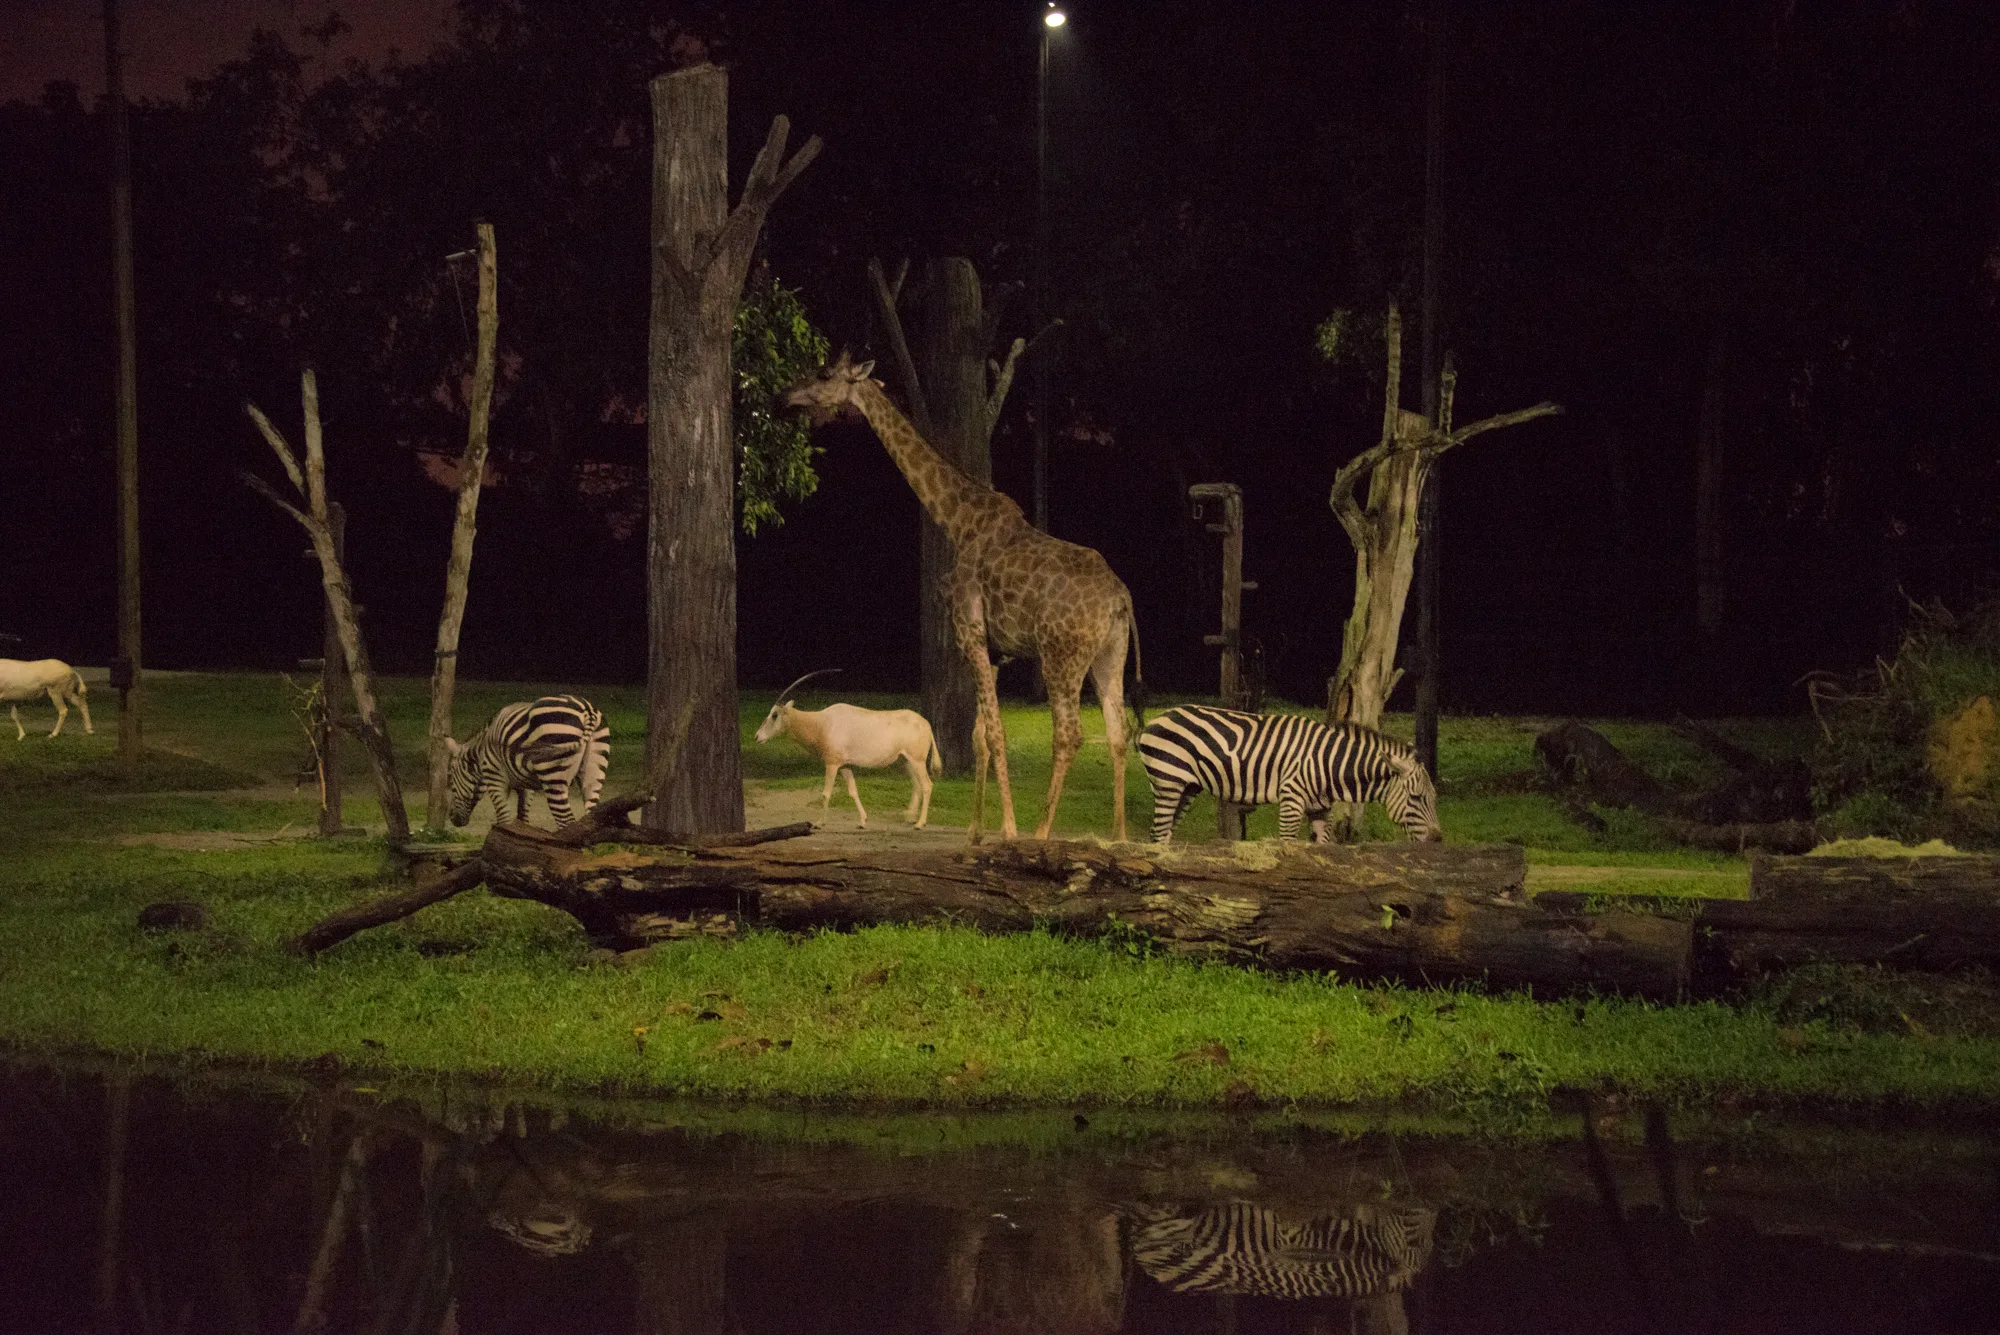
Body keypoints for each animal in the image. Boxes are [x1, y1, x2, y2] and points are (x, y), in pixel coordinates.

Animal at [444, 695, 609, 828]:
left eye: (450, 778)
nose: (452, 818)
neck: (482, 749)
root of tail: (588, 711)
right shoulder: (526, 786)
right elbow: (522, 819)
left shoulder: (495, 778)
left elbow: (504, 819)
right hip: (594, 772)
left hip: (552, 775)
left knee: (566, 820)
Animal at [786, 352, 1143, 842]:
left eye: (823, 374)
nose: (788, 393)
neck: (957, 521)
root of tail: (1120, 597)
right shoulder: (993, 649)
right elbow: (979, 737)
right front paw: (975, 831)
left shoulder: (969, 632)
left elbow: (994, 733)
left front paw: (1007, 829)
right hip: (1110, 654)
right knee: (1117, 731)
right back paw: (1118, 837)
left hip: (1060, 656)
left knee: (1069, 733)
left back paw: (1041, 831)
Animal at [1136, 704, 1440, 844]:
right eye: (1416, 798)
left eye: (1434, 798)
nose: (1438, 840)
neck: (1329, 762)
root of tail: (1156, 719)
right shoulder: (1292, 799)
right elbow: (1287, 846)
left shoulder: (1320, 809)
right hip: (1168, 781)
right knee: (1160, 833)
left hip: (1187, 788)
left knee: (1162, 834)